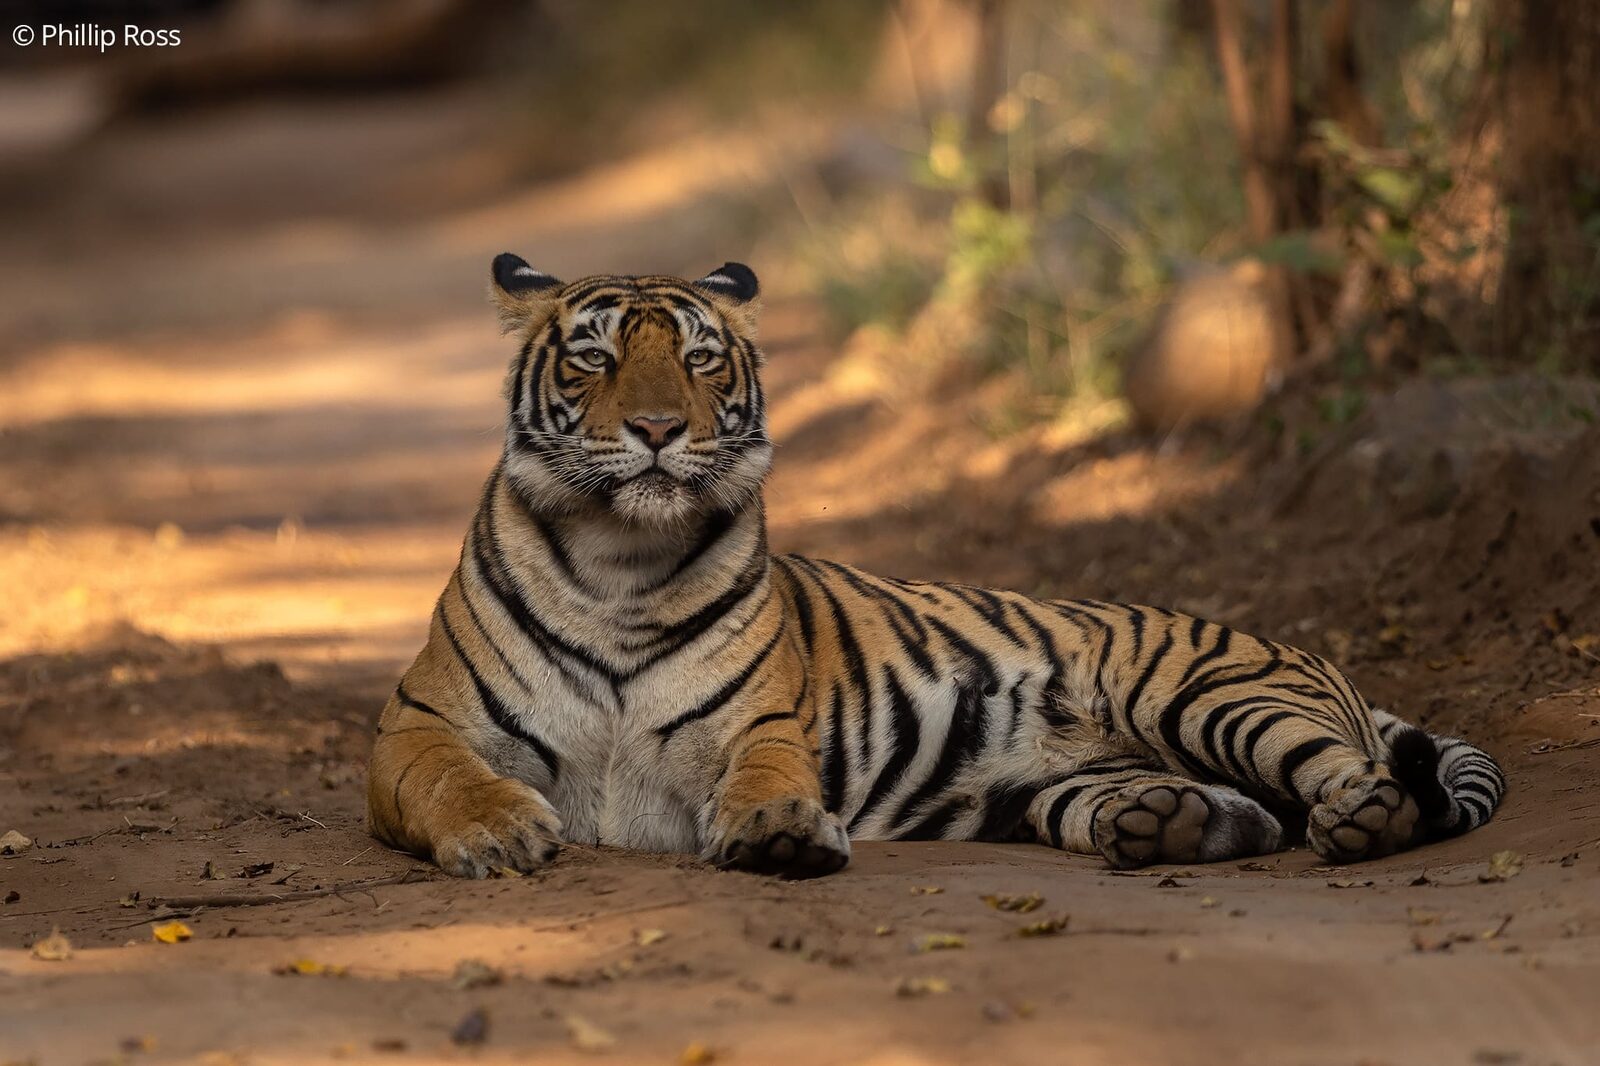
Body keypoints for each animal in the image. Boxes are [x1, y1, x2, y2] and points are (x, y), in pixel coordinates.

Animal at [365, 254, 1506, 879]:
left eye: (698, 359)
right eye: (594, 358)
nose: (655, 429)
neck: (621, 561)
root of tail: (1319, 663)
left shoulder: (758, 724)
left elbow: (769, 774)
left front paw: (781, 830)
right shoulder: (417, 728)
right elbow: (450, 780)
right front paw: (499, 833)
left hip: (1214, 692)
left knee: (1347, 781)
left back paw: (1358, 815)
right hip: (1060, 786)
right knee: (1245, 814)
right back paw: (1166, 822)